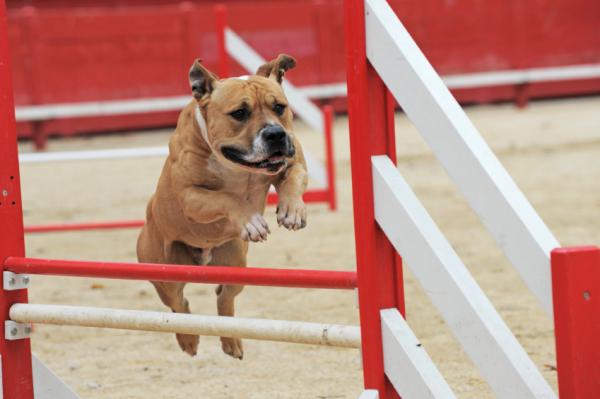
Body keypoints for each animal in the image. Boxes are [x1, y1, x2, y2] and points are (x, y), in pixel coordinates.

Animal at [138, 54, 308, 360]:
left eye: (279, 107)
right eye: (239, 113)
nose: (275, 134)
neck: (237, 165)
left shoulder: (294, 160)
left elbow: (293, 178)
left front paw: (292, 210)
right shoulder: (191, 196)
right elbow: (228, 199)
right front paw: (250, 220)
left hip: (236, 264)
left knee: (224, 298)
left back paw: (231, 341)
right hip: (164, 272)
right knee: (179, 305)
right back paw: (188, 340)